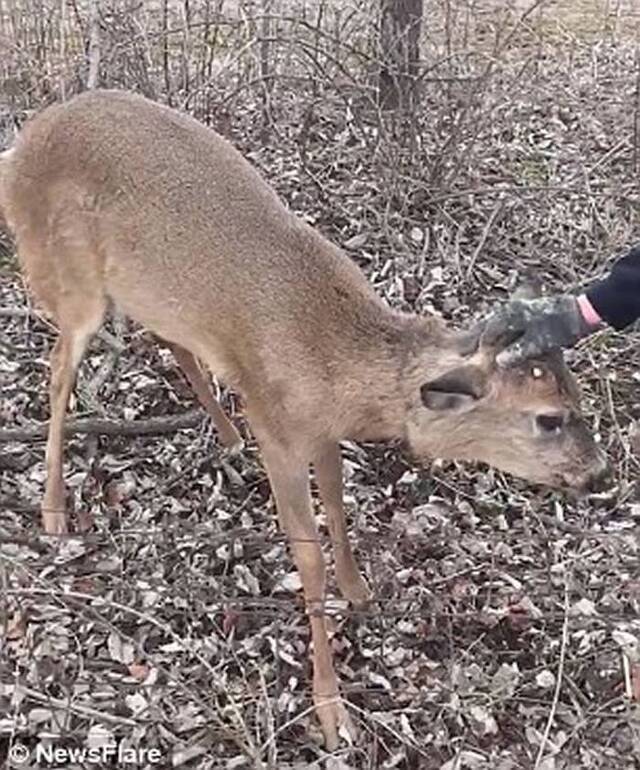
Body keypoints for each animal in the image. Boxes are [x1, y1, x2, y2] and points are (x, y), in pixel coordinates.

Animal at [0, 90, 608, 752]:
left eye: (577, 394)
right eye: (548, 418)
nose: (600, 472)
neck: (337, 366)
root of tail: (22, 146)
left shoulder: (320, 431)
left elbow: (339, 505)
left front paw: (360, 592)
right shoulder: (280, 432)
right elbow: (307, 557)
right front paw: (330, 706)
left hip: (146, 291)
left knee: (168, 340)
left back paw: (226, 435)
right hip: (68, 277)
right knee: (58, 371)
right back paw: (54, 510)